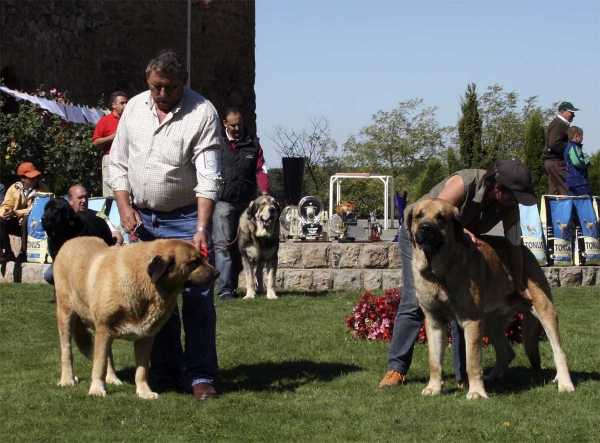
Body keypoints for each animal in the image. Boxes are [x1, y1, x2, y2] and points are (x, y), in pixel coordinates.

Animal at [53, 238, 218, 400]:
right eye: (194, 262)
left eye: (203, 257)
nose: (217, 273)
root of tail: (70, 241)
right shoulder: (104, 328)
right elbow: (99, 364)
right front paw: (96, 390)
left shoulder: (145, 336)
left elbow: (141, 370)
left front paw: (145, 392)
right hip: (66, 314)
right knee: (67, 350)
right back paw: (67, 379)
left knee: (108, 355)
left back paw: (112, 378)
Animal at [406, 199, 576, 400]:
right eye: (418, 216)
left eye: (440, 218)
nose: (425, 228)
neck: (439, 273)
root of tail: (525, 250)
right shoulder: (434, 322)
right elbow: (434, 361)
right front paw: (433, 388)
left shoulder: (471, 320)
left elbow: (472, 360)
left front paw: (476, 392)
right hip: (490, 322)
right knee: (506, 353)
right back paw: (493, 377)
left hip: (544, 310)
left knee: (559, 351)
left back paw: (564, 383)